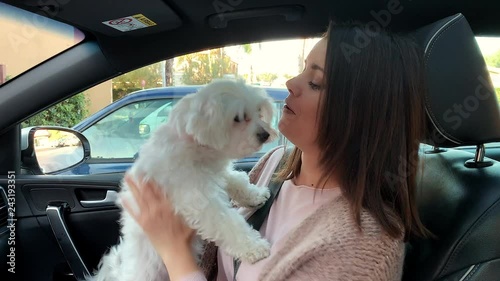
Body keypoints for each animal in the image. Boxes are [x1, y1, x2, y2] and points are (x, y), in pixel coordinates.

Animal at [88, 79, 280, 280]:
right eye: (237, 118)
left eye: (258, 111)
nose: (265, 134)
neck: (195, 145)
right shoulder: (199, 199)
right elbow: (227, 223)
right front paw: (255, 247)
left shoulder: (214, 173)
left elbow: (236, 180)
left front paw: (255, 195)